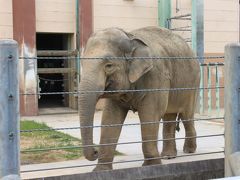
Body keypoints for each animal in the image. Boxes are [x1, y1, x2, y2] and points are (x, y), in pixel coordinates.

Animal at [79, 26, 201, 171]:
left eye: (109, 66)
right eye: (82, 63)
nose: (95, 151)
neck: (130, 36)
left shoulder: (156, 76)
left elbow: (150, 114)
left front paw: (152, 166)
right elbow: (110, 118)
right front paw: (101, 171)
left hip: (192, 84)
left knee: (186, 116)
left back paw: (189, 151)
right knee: (169, 117)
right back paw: (168, 156)